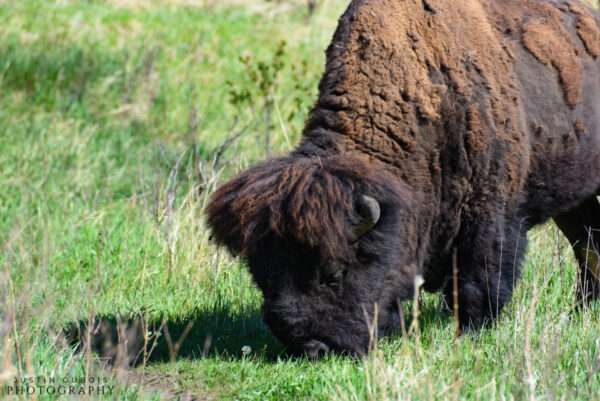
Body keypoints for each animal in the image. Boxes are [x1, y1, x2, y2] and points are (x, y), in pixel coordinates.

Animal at [207, 0, 600, 356]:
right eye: (262, 276)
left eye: (334, 273)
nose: (312, 348)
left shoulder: (492, 217)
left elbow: (478, 280)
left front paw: (472, 333)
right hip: (576, 205)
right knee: (588, 245)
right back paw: (583, 308)